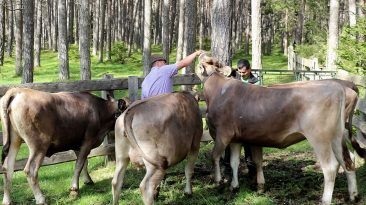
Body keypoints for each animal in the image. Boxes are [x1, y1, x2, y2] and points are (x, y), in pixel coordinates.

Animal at [0, 87, 129, 204]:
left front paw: (87, 180)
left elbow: (84, 163)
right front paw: (74, 189)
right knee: (30, 170)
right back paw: (41, 200)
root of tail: (18, 91)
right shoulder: (88, 141)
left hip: (14, 140)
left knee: (7, 168)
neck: (100, 111)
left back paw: (7, 200)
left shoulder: (78, 144)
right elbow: (79, 164)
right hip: (39, 145)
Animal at [196, 54, 358, 205]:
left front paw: (218, 182)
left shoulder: (223, 134)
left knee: (330, 166)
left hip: (319, 137)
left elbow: (215, 156)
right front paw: (234, 186)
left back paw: (325, 200)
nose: (201, 54)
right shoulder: (236, 138)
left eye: (205, 62)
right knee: (347, 160)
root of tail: (338, 88)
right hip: (336, 136)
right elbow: (234, 162)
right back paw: (353, 195)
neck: (218, 90)